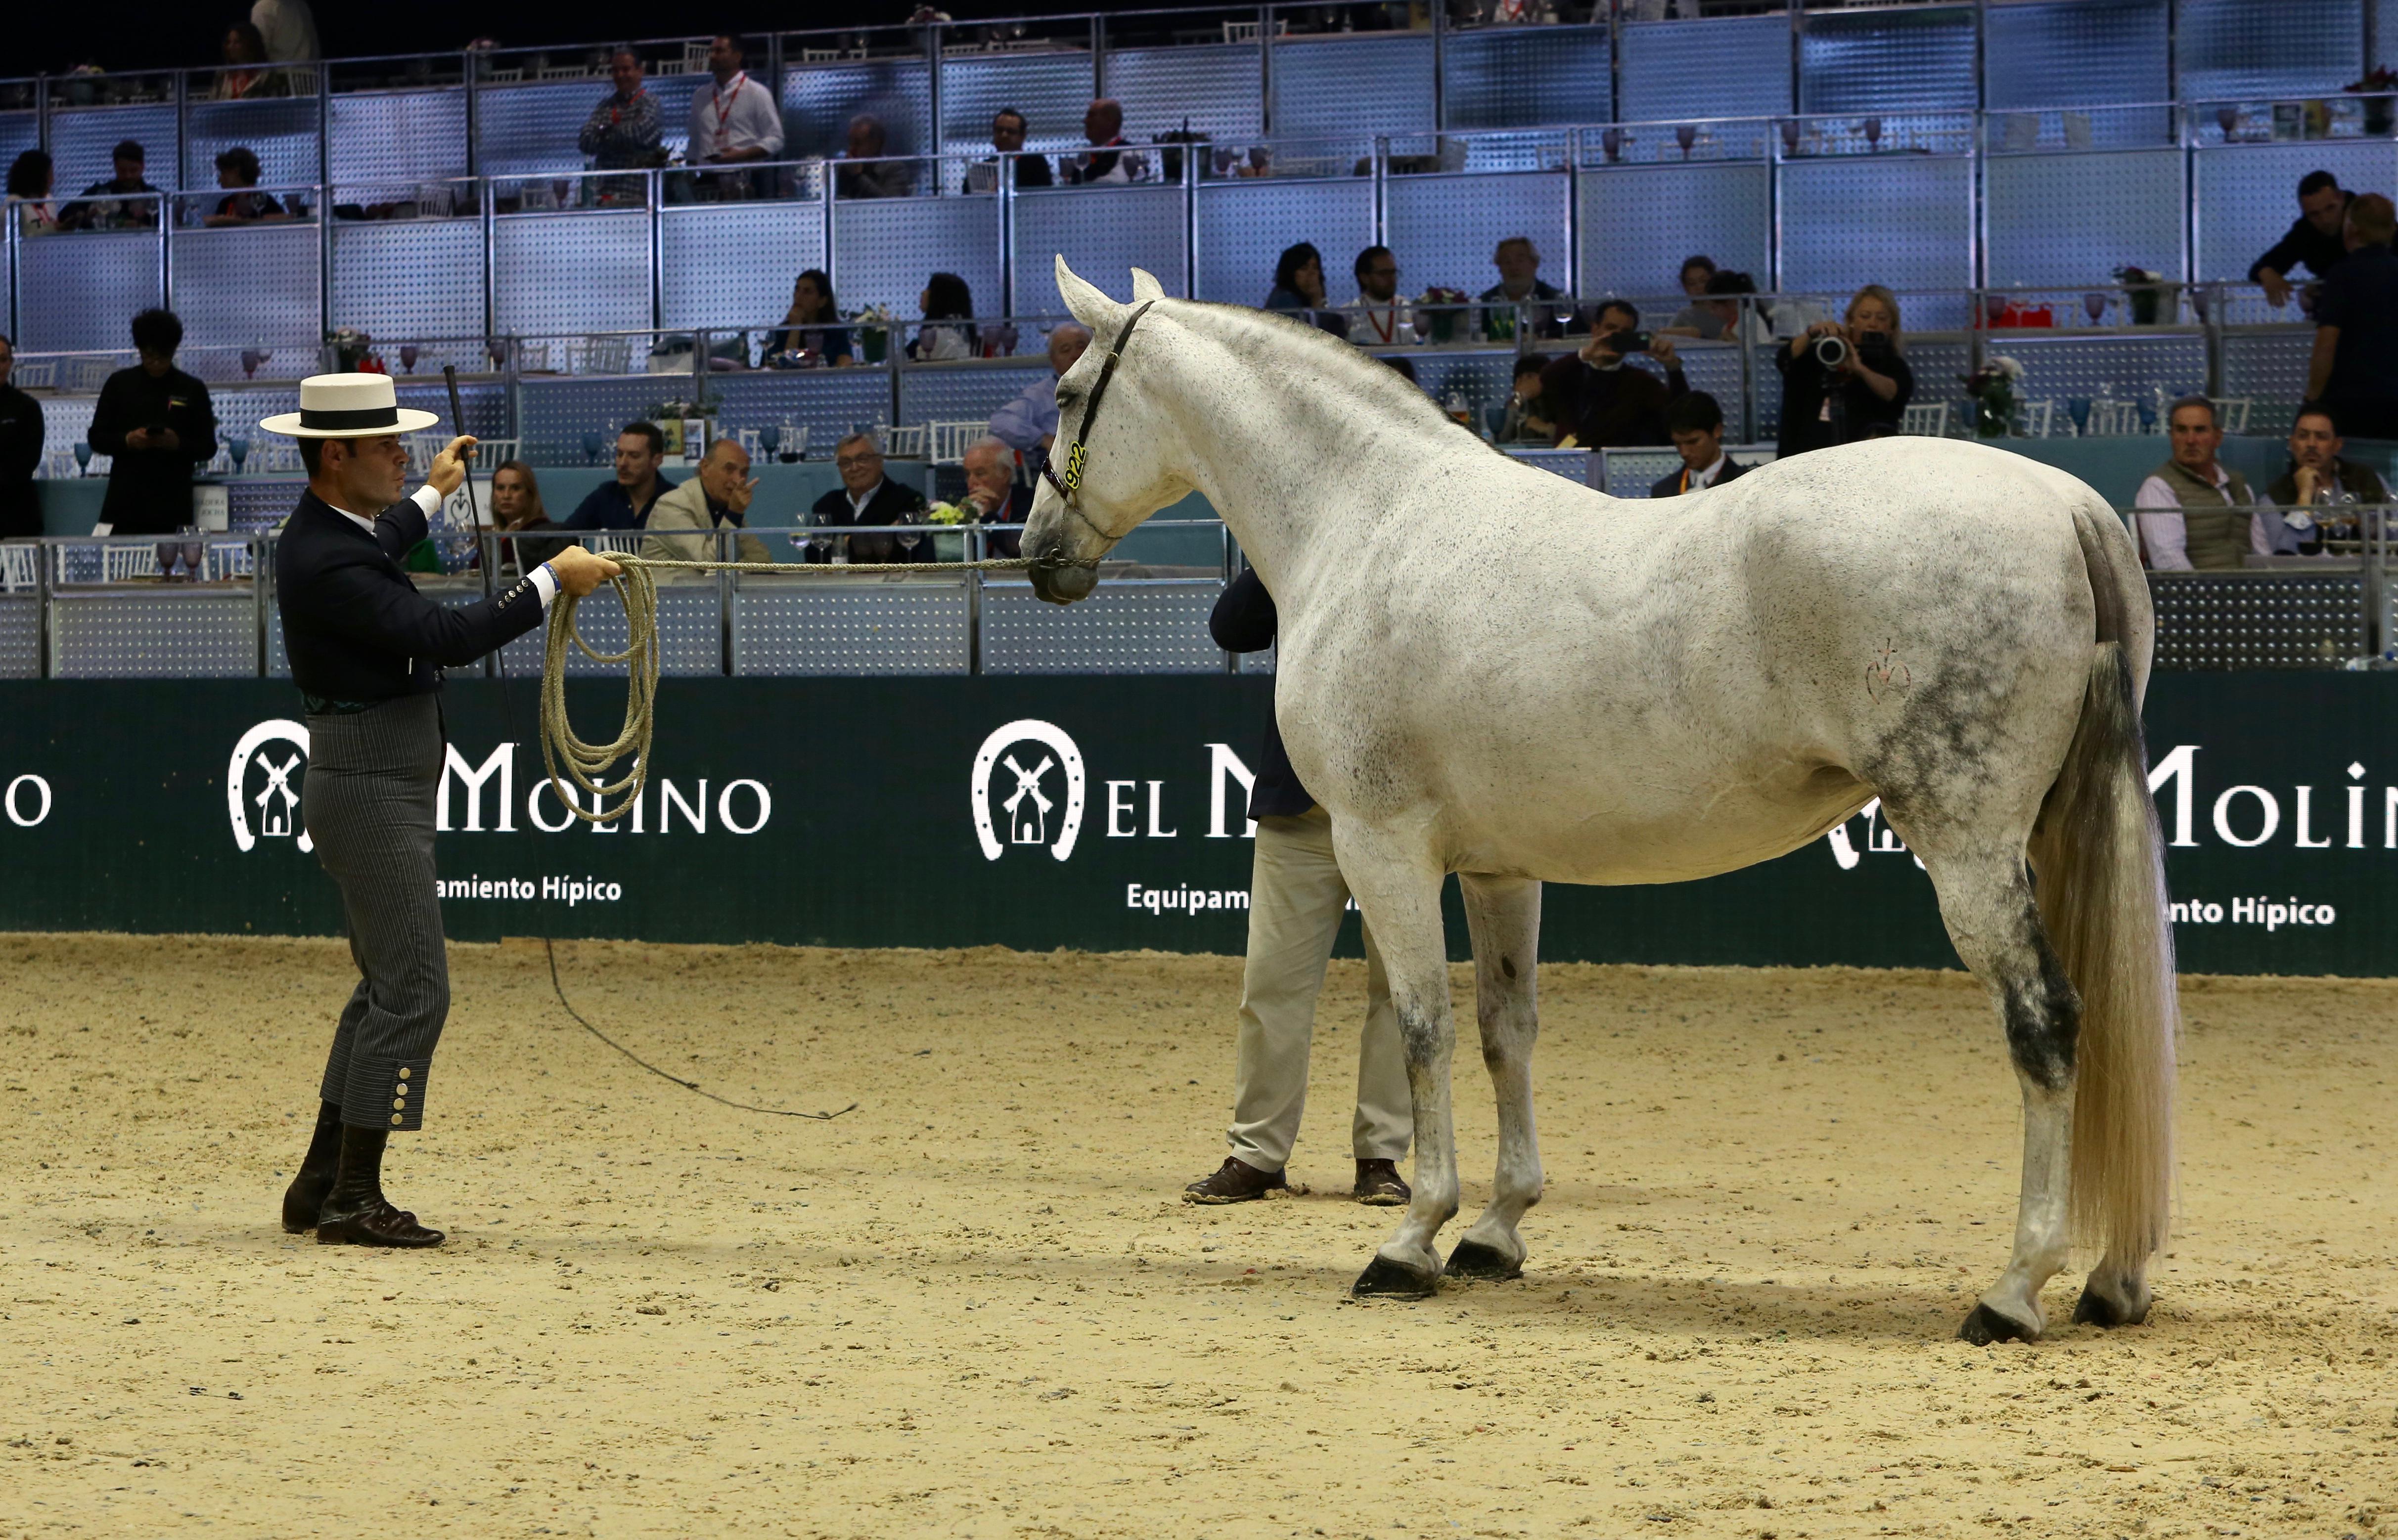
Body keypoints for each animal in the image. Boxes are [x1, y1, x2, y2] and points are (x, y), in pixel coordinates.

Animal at [1021, 258, 2187, 1333]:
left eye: (1071, 395)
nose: (1039, 555)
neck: (1372, 521)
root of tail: (2063, 501)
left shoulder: (1380, 846)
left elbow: (1423, 1032)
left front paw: (1410, 1239)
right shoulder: (1498, 868)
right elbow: (1507, 1029)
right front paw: (1495, 1230)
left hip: (1967, 844)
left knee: (2044, 1022)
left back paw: (2013, 1289)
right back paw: (2112, 1281)